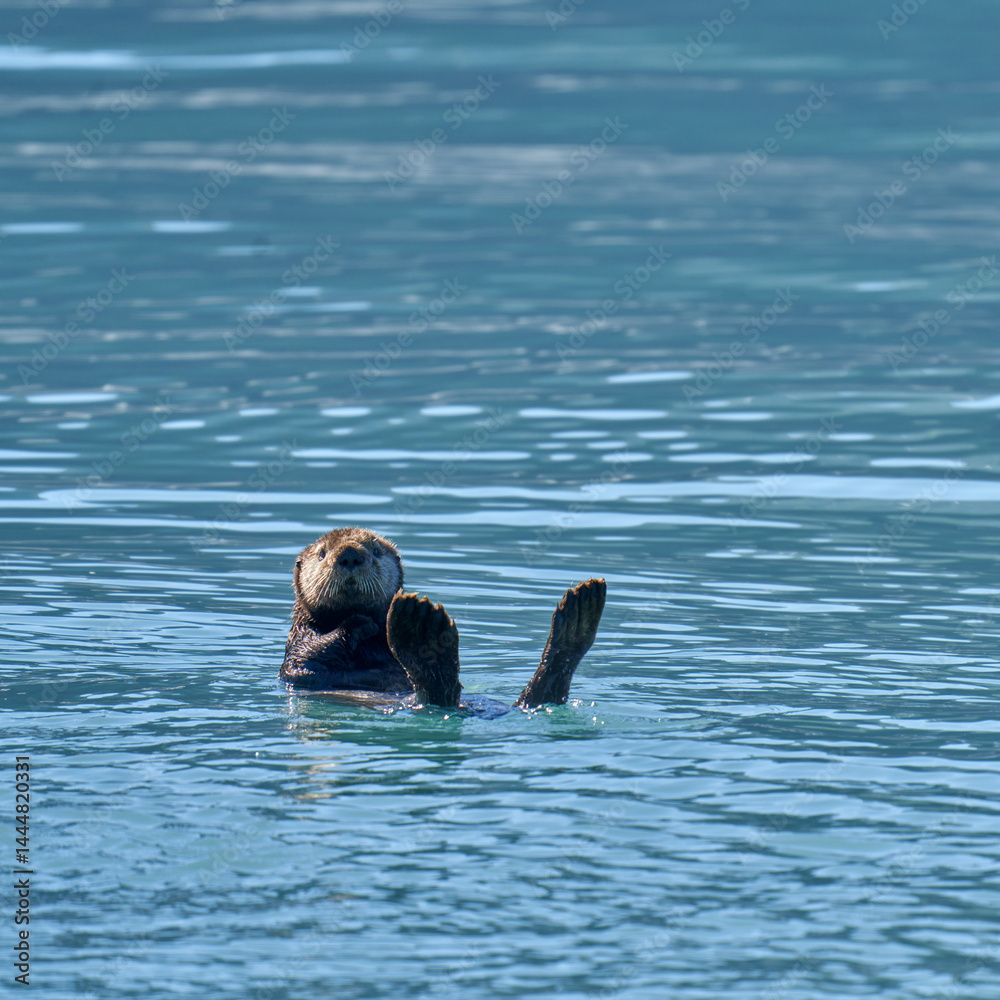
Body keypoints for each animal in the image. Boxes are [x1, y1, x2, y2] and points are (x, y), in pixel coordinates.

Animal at [280, 527, 606, 715]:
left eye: (375, 551)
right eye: (322, 554)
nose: (349, 555)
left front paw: (368, 622)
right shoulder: (300, 646)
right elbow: (308, 657)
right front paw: (361, 623)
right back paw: (422, 628)